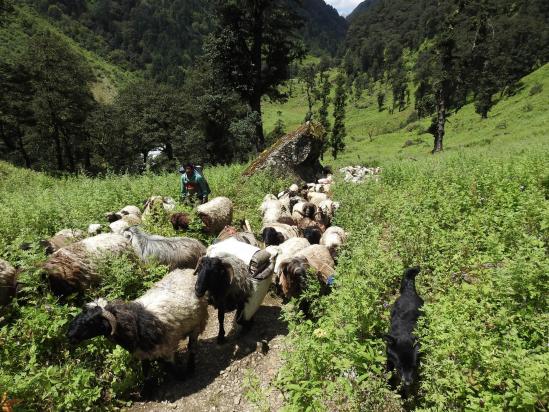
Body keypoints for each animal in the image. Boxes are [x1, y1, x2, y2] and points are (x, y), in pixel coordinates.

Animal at [67, 268, 208, 380]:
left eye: (91, 322)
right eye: (80, 315)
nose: (69, 335)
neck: (133, 324)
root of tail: (187, 271)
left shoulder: (166, 348)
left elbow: (170, 367)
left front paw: (181, 377)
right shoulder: (143, 353)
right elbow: (145, 372)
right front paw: (147, 391)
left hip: (198, 323)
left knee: (192, 346)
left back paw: (190, 367)